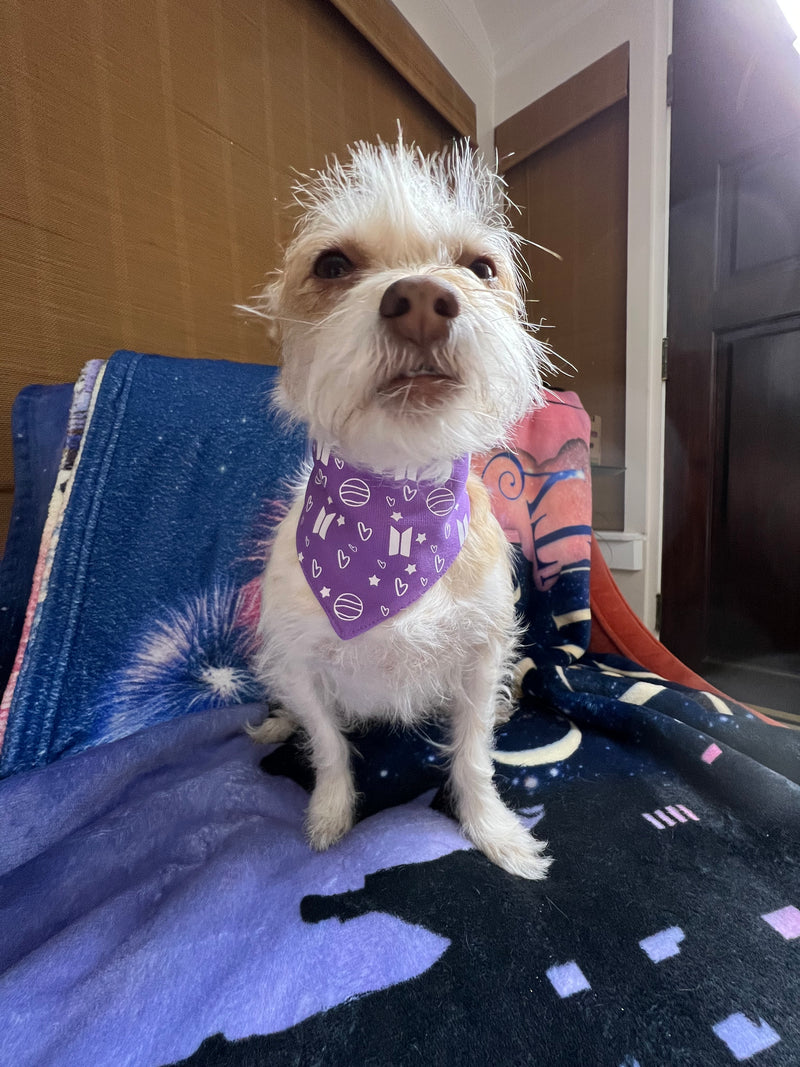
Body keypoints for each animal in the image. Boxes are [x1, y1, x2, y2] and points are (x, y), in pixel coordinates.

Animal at [253, 137, 554, 879]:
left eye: (480, 267)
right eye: (332, 265)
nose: (421, 297)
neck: (394, 506)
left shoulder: (481, 655)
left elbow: (472, 754)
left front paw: (495, 831)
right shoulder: (299, 662)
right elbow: (329, 746)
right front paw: (330, 815)